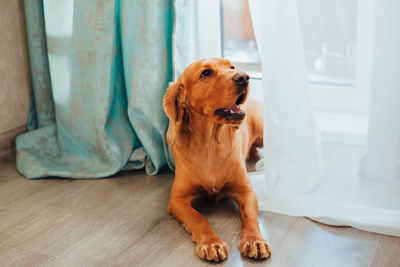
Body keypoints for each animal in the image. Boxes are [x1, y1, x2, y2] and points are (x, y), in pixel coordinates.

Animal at [163, 59, 272, 264]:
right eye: (205, 73)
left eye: (231, 67)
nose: (244, 77)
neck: (210, 145)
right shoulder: (177, 200)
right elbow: (198, 218)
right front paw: (211, 243)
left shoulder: (246, 192)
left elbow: (250, 218)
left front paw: (255, 241)